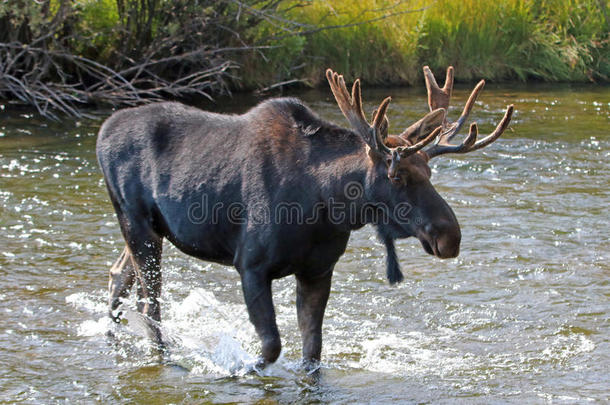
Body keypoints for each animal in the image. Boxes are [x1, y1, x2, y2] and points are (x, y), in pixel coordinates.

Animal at [96, 66, 512, 370]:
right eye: (396, 176)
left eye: (429, 171)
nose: (450, 236)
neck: (323, 204)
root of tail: (101, 131)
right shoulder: (250, 265)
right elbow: (270, 347)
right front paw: (234, 367)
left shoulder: (317, 270)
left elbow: (312, 349)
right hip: (136, 222)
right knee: (149, 302)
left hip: (152, 229)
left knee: (119, 275)